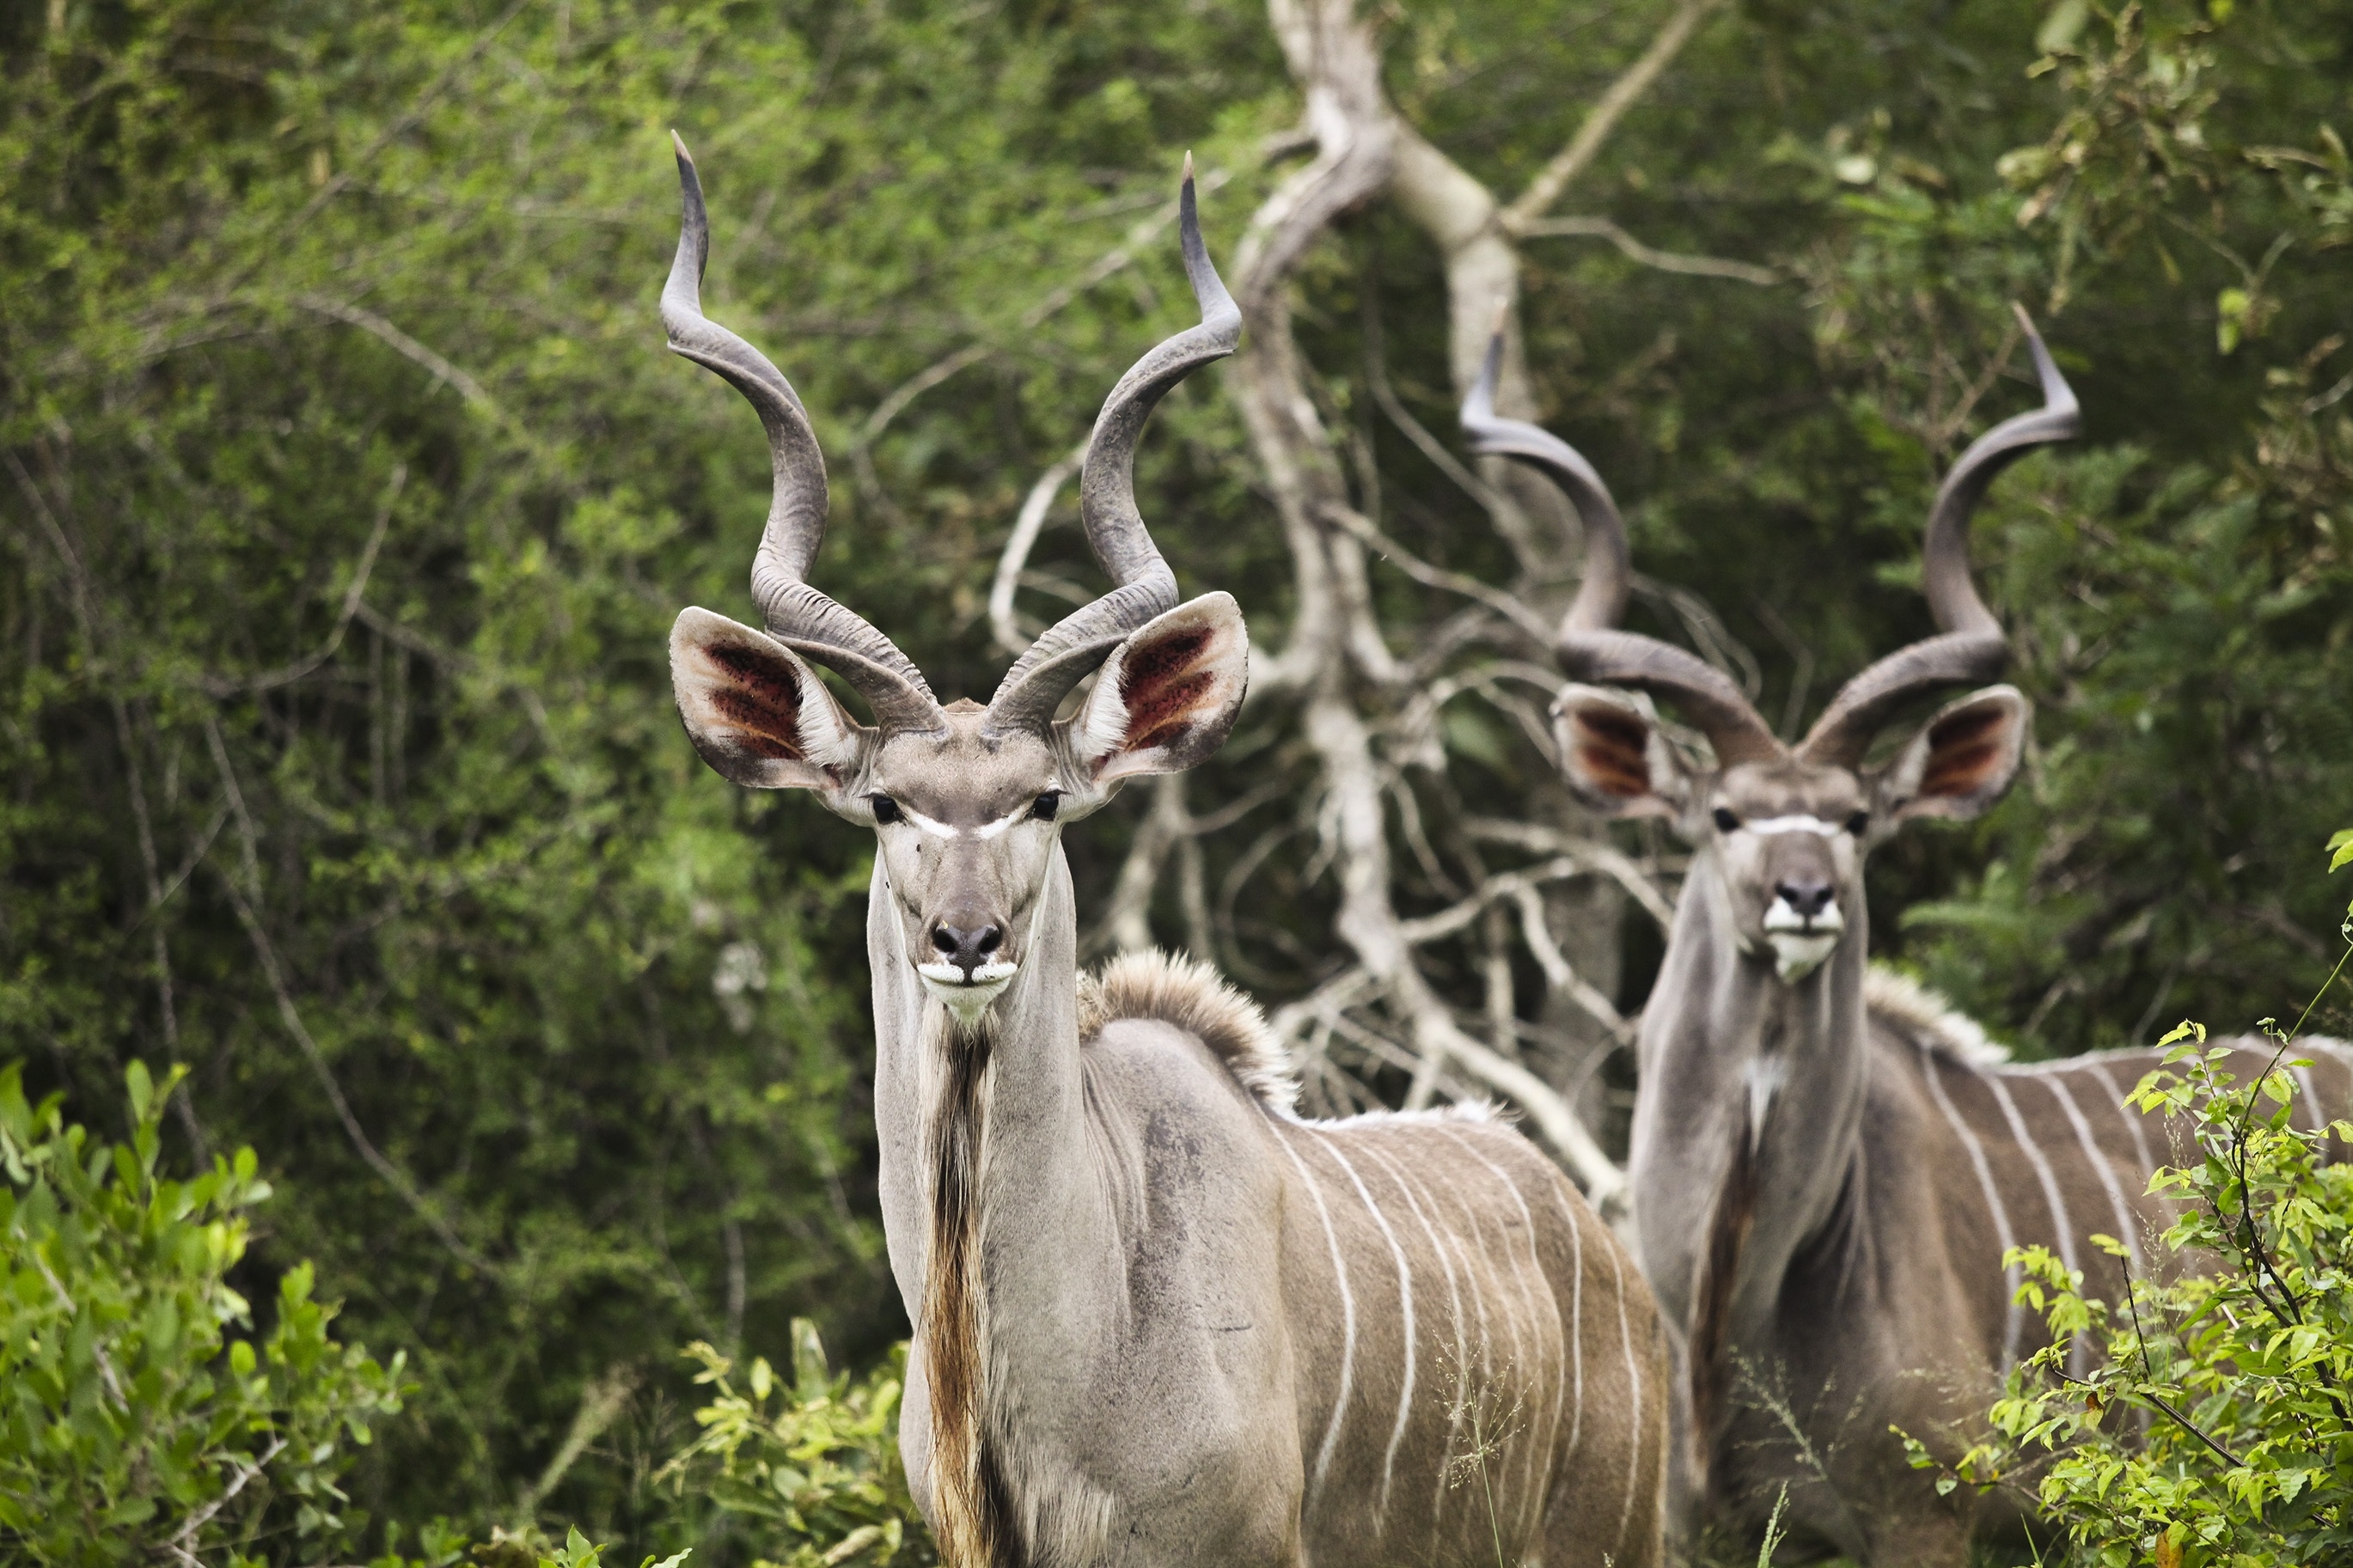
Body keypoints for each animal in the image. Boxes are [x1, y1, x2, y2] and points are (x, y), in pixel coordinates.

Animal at [1458, 312, 2344, 1560]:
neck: (1740, 1290)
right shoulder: (1704, 1527)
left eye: (1854, 818)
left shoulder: (1926, 1512)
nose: (1803, 895)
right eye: (1722, 815)